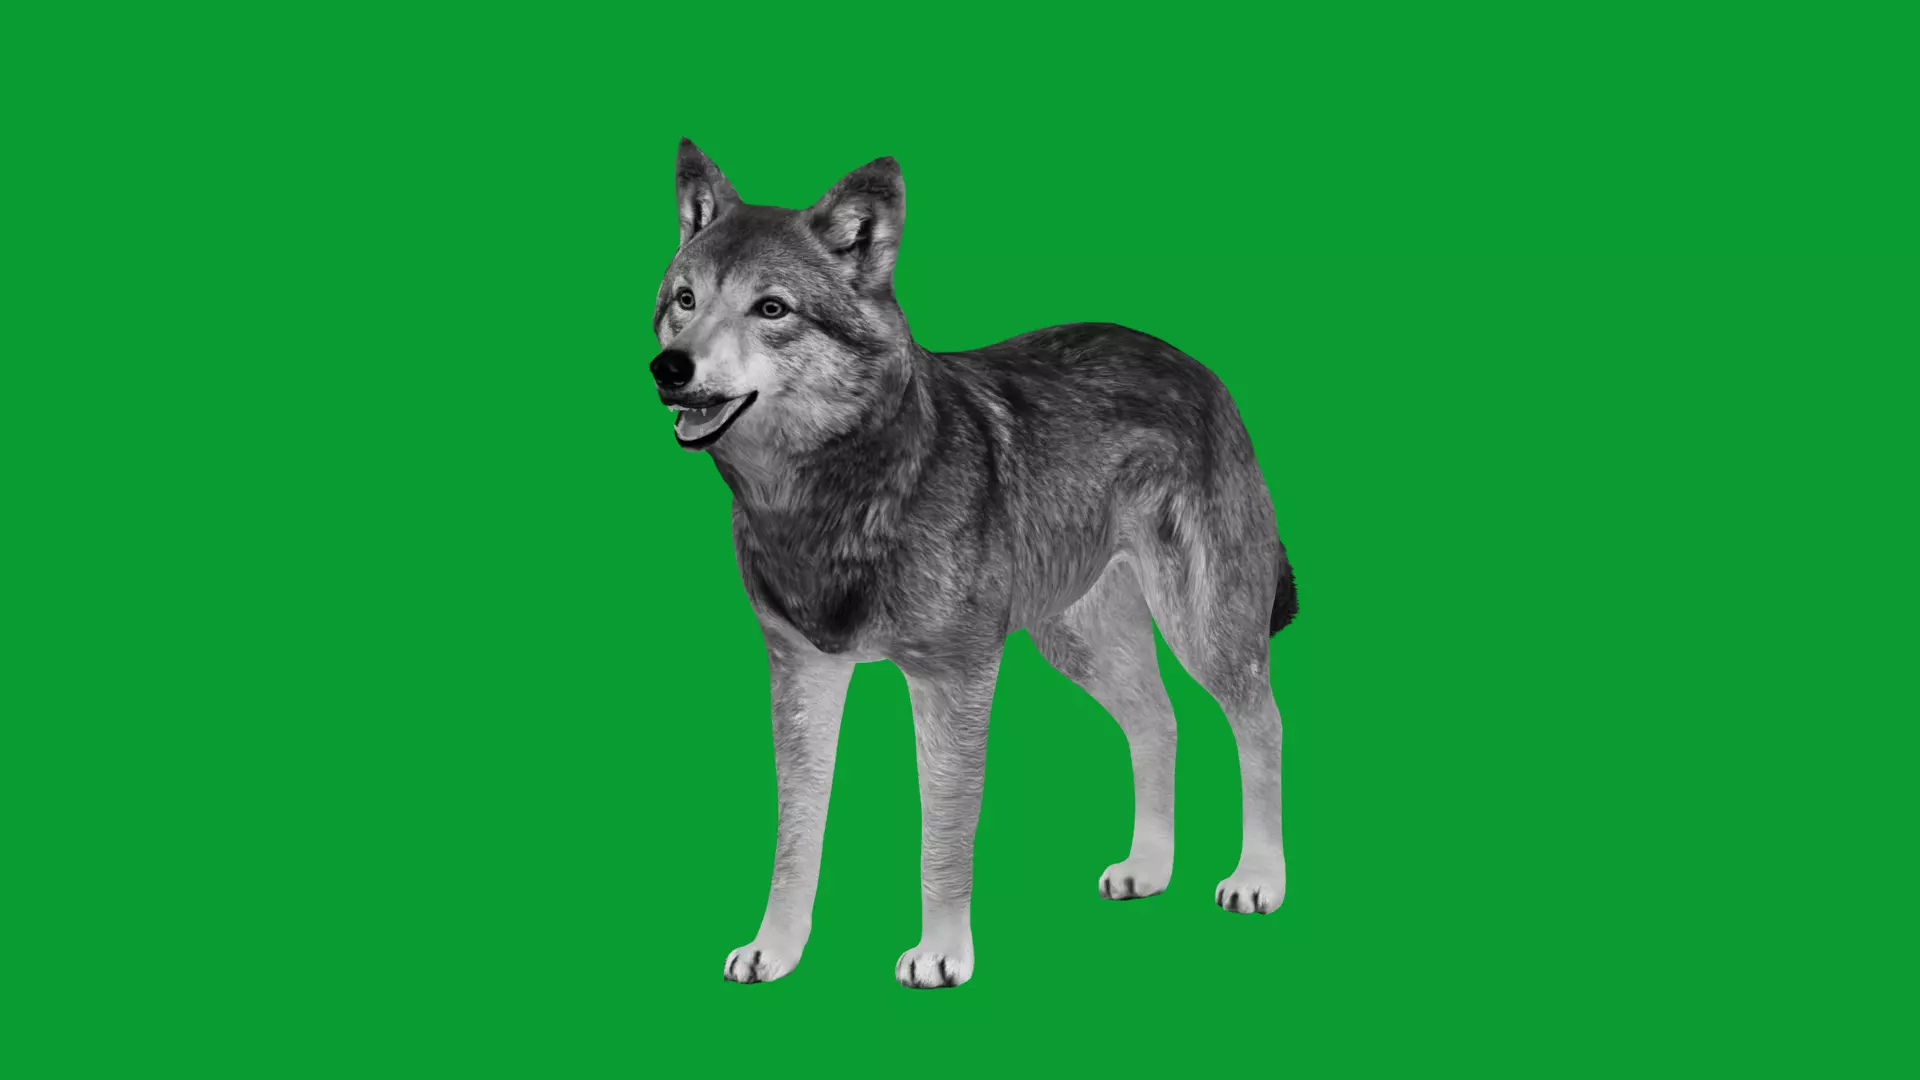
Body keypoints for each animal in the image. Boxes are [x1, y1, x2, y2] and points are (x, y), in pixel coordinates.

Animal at [651, 140, 1297, 988]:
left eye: (772, 309)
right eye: (686, 300)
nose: (669, 367)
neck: (830, 496)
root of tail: (1195, 365)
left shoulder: (953, 678)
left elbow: (944, 834)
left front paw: (940, 953)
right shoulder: (801, 673)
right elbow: (797, 832)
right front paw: (776, 949)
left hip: (1205, 631)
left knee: (1261, 722)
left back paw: (1258, 879)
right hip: (1080, 643)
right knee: (1159, 722)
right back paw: (1148, 869)